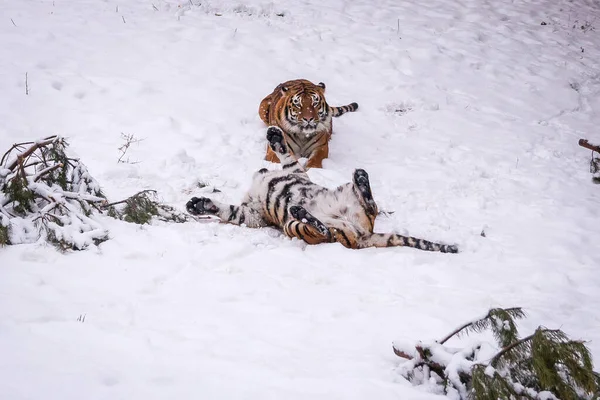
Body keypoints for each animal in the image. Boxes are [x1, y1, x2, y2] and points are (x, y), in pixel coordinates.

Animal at [185, 127, 458, 253]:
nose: (260, 172)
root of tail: (364, 235)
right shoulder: (253, 213)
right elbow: (230, 210)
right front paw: (198, 205)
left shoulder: (296, 172)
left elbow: (287, 155)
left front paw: (275, 136)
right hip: (293, 225)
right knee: (327, 229)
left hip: (341, 195)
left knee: (364, 208)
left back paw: (360, 178)